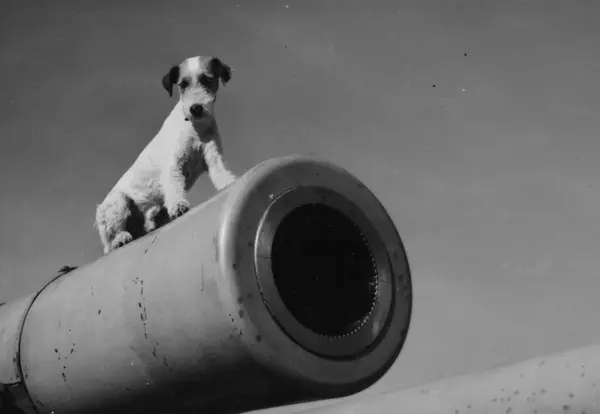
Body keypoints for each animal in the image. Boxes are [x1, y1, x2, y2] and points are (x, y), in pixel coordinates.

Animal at [95, 56, 237, 254]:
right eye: (183, 84)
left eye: (207, 79)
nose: (196, 108)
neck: (195, 128)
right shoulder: (173, 166)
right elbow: (175, 188)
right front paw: (179, 206)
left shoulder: (214, 158)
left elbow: (222, 176)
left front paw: (232, 183)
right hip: (118, 203)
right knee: (110, 241)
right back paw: (120, 239)